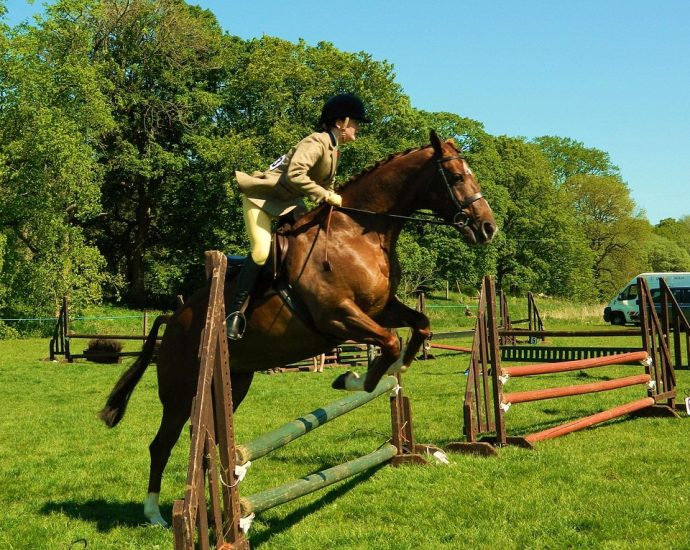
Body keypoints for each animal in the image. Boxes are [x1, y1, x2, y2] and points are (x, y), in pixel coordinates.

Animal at [99, 129, 497, 526]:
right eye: (457, 177)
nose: (488, 227)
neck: (358, 233)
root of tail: (174, 319)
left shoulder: (380, 309)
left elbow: (419, 328)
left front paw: (391, 373)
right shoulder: (338, 317)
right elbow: (390, 343)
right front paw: (351, 379)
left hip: (233, 382)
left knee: (207, 446)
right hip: (181, 392)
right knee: (162, 444)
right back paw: (155, 514)